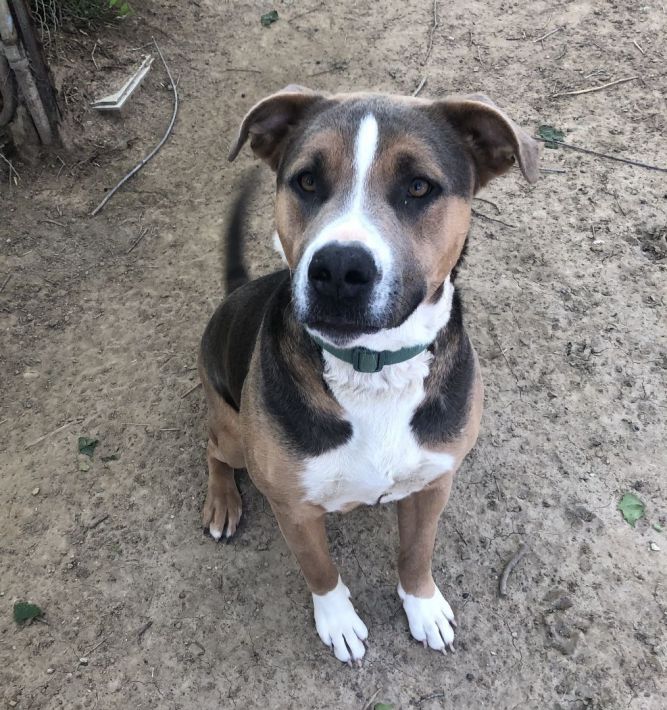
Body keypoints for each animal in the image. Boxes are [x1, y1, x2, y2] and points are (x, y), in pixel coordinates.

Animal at [200, 87, 544, 668]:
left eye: (419, 186)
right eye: (307, 181)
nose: (339, 269)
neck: (374, 368)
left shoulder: (434, 482)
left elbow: (417, 552)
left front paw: (423, 606)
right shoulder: (294, 507)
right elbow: (320, 570)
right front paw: (338, 622)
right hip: (233, 436)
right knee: (212, 448)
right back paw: (223, 500)